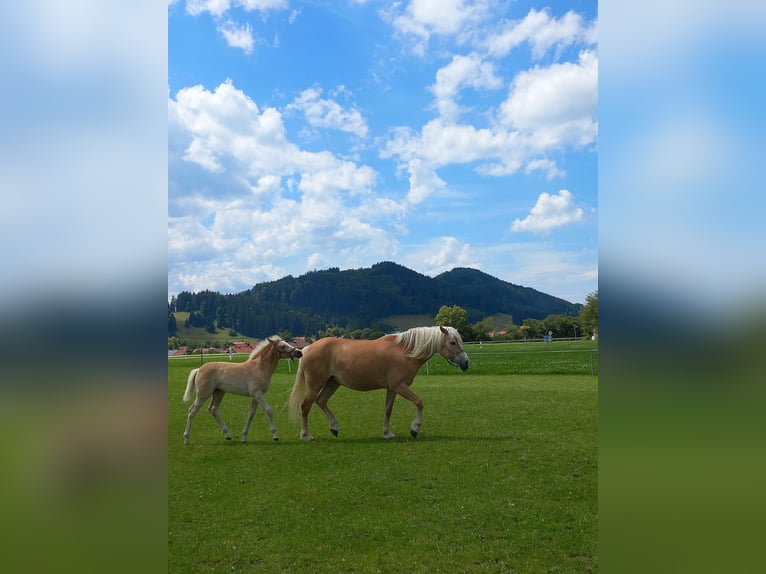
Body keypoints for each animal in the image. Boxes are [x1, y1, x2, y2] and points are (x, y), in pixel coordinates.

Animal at [288, 326, 468, 444]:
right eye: (452, 342)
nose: (466, 363)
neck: (404, 352)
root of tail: (307, 348)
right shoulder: (400, 386)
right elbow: (419, 402)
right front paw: (415, 428)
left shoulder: (392, 389)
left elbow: (388, 410)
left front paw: (387, 433)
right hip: (316, 385)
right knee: (306, 406)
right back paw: (306, 435)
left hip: (333, 383)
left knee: (321, 401)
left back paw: (334, 427)